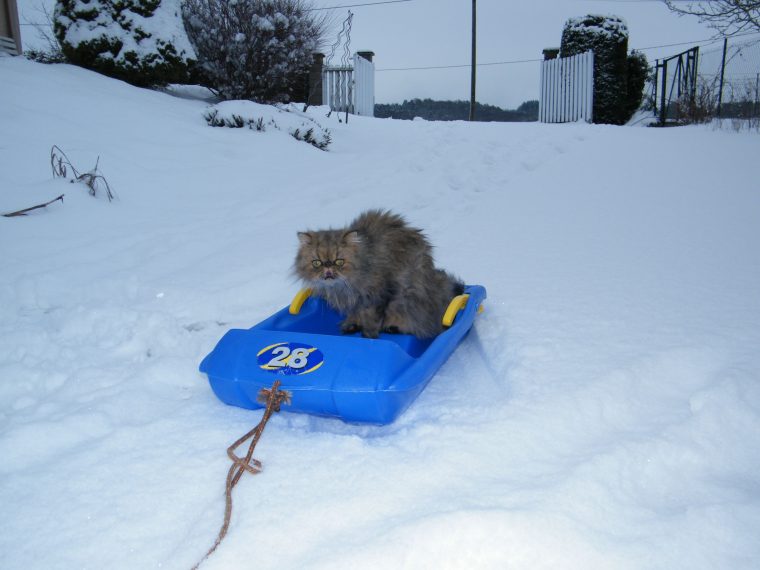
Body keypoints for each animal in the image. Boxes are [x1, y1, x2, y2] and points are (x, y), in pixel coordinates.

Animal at [296, 211, 464, 340]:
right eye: (317, 263)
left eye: (339, 262)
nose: (328, 270)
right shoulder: (355, 302)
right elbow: (357, 314)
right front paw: (353, 324)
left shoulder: (379, 296)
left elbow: (372, 321)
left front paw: (368, 337)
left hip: (408, 297)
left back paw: (393, 328)